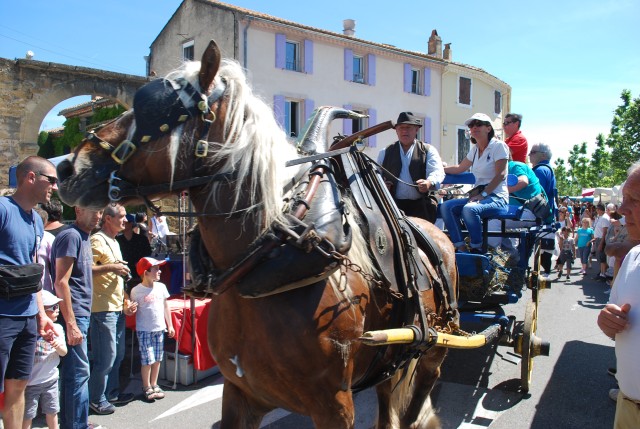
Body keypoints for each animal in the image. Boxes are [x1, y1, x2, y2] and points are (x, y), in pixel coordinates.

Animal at [55, 40, 458, 428]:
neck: (269, 262)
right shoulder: (240, 393)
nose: (68, 168)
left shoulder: (335, 407)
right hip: (392, 361)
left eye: (158, 109)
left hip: (436, 348)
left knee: (422, 387)